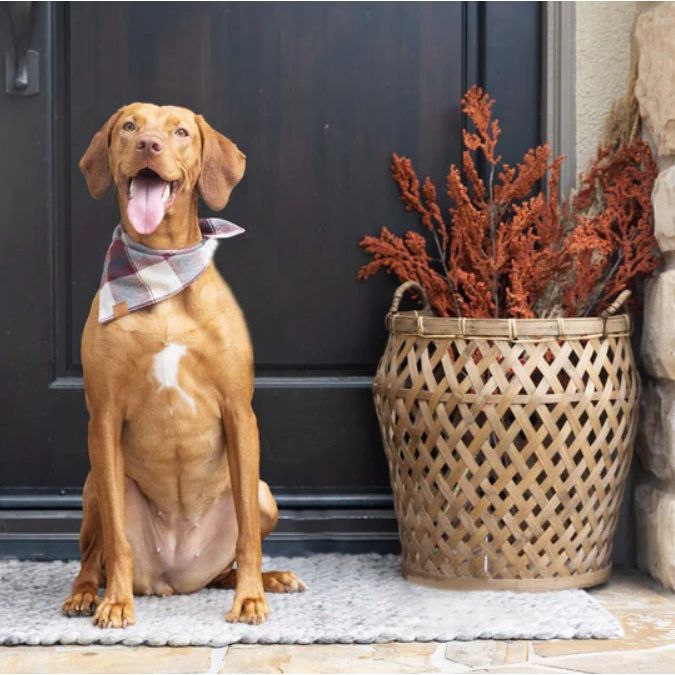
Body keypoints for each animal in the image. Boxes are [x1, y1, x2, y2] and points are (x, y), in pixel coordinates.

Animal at [63, 104, 306, 628]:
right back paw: (86, 593)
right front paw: (116, 602)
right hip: (93, 485)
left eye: (180, 131)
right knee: (93, 554)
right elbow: (116, 537)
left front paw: (252, 598)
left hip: (262, 492)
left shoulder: (238, 412)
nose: (149, 145)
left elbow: (247, 537)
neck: (161, 269)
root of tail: (172, 578)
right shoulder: (103, 417)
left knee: (229, 560)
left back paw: (267, 580)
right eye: (129, 126)